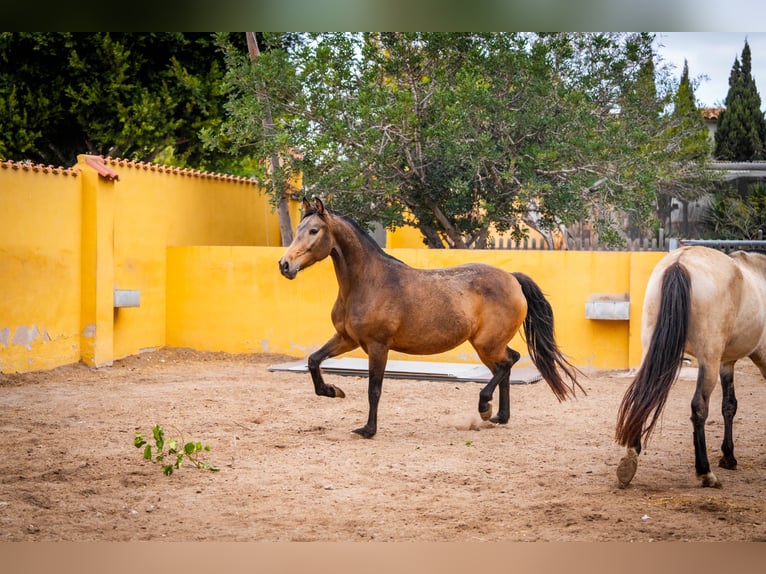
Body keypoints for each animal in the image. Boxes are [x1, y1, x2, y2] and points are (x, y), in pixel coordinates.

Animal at [276, 200, 584, 438]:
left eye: (314, 231)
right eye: (300, 230)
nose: (284, 265)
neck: (367, 282)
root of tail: (512, 278)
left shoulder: (378, 346)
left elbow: (374, 389)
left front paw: (368, 430)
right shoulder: (347, 339)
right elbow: (313, 360)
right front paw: (332, 390)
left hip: (487, 343)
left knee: (509, 362)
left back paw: (484, 408)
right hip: (486, 345)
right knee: (506, 365)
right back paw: (498, 416)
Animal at [616, 245, 766, 488]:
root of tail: (680, 261)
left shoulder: (726, 363)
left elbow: (729, 405)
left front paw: (728, 456)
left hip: (654, 349)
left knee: (642, 396)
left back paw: (629, 461)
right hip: (707, 361)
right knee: (699, 408)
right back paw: (705, 472)